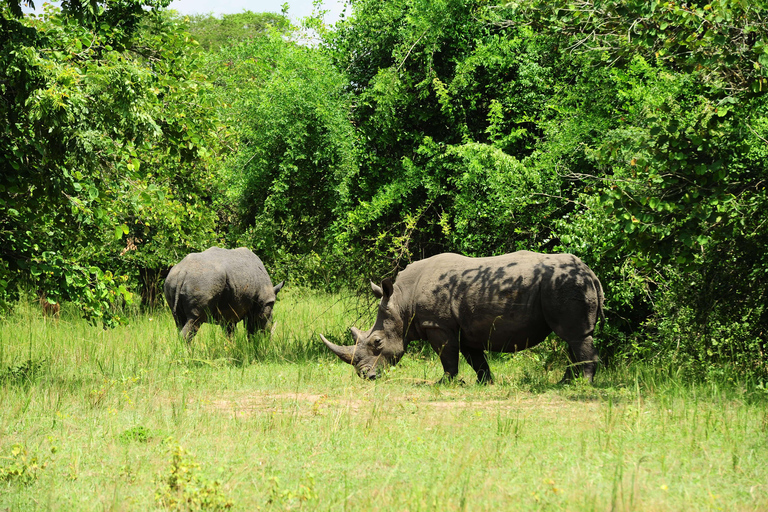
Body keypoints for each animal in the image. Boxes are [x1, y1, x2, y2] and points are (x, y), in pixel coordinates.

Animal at [321, 251, 604, 383]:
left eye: (377, 342)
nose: (365, 377)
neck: (402, 300)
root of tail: (590, 272)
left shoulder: (438, 324)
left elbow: (447, 355)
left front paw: (443, 383)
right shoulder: (465, 327)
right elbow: (475, 358)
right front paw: (485, 383)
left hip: (566, 284)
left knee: (575, 336)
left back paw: (583, 385)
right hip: (565, 285)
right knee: (571, 338)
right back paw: (565, 382)